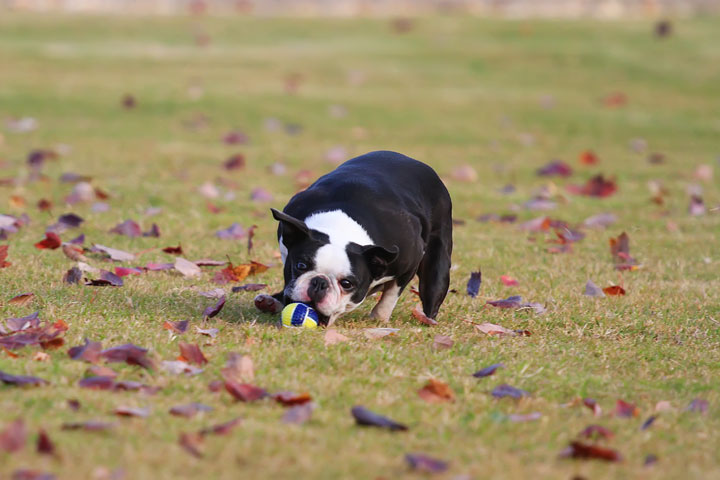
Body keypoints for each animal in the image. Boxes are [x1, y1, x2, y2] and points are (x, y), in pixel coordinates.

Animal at [256, 150, 452, 326]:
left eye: (347, 283)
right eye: (300, 266)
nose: (319, 283)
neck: (339, 229)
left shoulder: (409, 263)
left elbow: (391, 293)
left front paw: (379, 317)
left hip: (437, 260)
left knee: (432, 288)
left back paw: (428, 320)